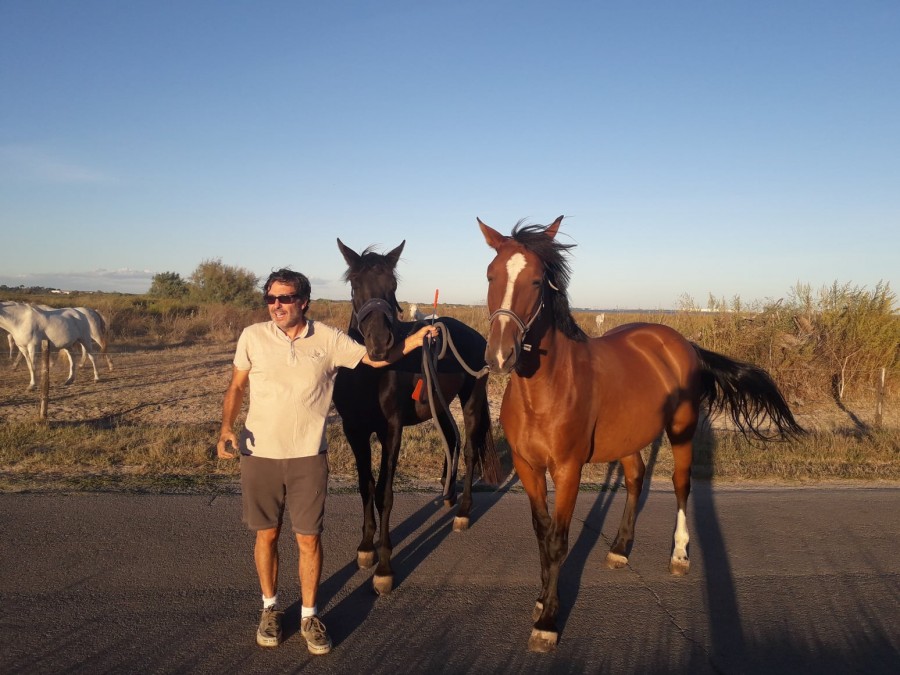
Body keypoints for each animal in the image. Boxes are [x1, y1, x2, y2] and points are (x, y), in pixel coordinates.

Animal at [332, 239, 502, 596]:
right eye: (355, 285)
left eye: (392, 285)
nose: (379, 343)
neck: (369, 374)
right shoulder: (355, 432)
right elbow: (365, 487)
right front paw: (366, 548)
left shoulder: (391, 432)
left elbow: (384, 494)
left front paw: (384, 567)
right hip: (441, 404)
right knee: (451, 441)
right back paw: (448, 495)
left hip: (471, 401)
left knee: (468, 451)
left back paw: (462, 512)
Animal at [478, 218, 800, 656]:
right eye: (491, 274)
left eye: (537, 280)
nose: (499, 355)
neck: (544, 390)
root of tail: (682, 343)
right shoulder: (528, 468)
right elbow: (542, 535)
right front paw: (543, 600)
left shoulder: (567, 470)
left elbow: (559, 540)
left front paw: (547, 624)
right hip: (628, 440)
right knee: (635, 479)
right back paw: (618, 549)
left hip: (680, 431)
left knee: (681, 485)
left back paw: (679, 556)